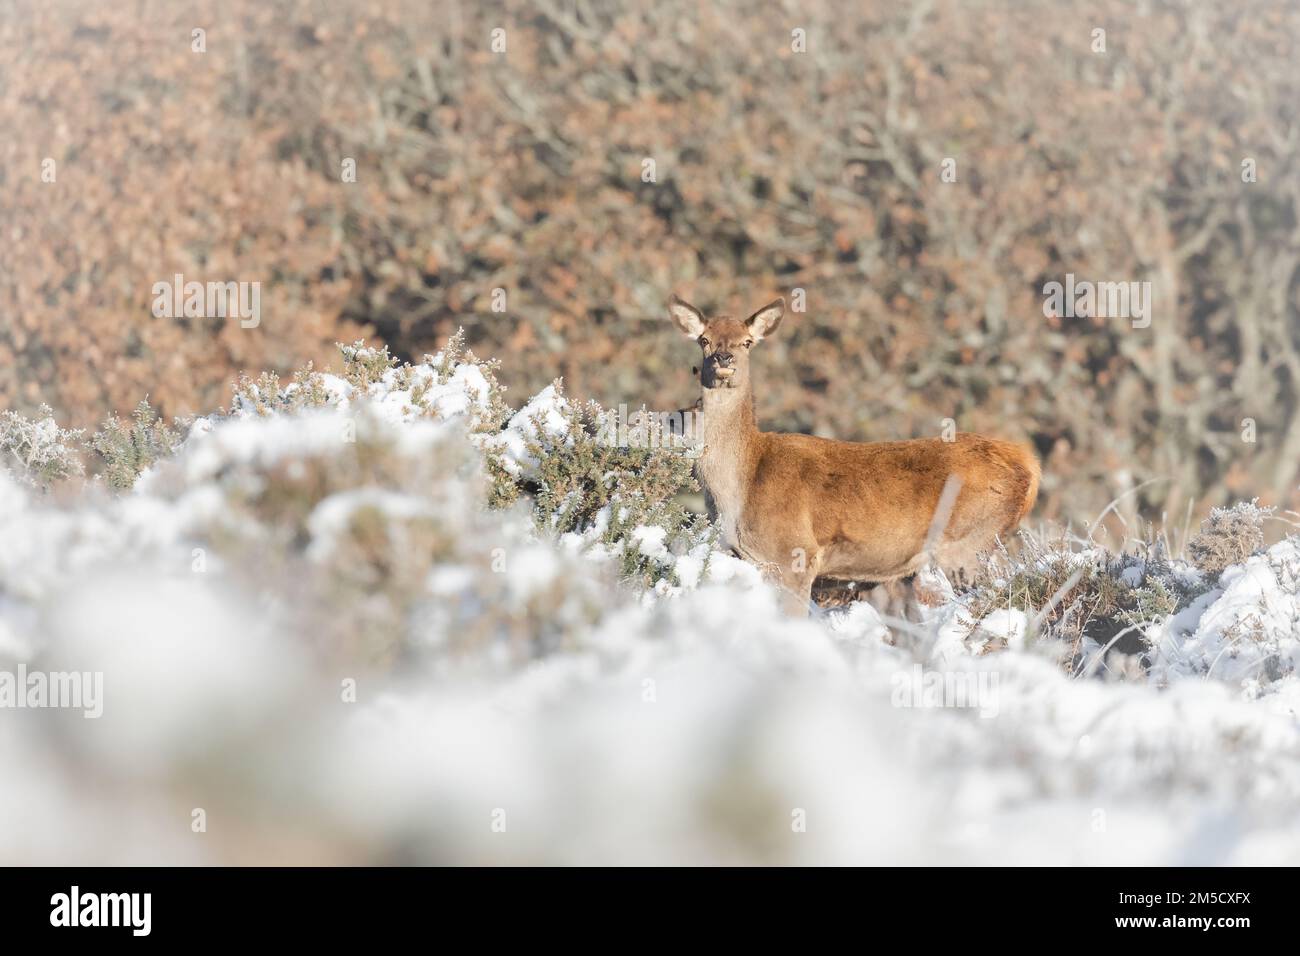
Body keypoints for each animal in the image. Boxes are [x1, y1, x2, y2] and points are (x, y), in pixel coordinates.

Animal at [668, 293, 1040, 616]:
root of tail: (1030, 466)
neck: (739, 489)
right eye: (704, 340)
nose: (723, 359)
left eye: (747, 341)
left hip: (970, 543)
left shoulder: (795, 554)